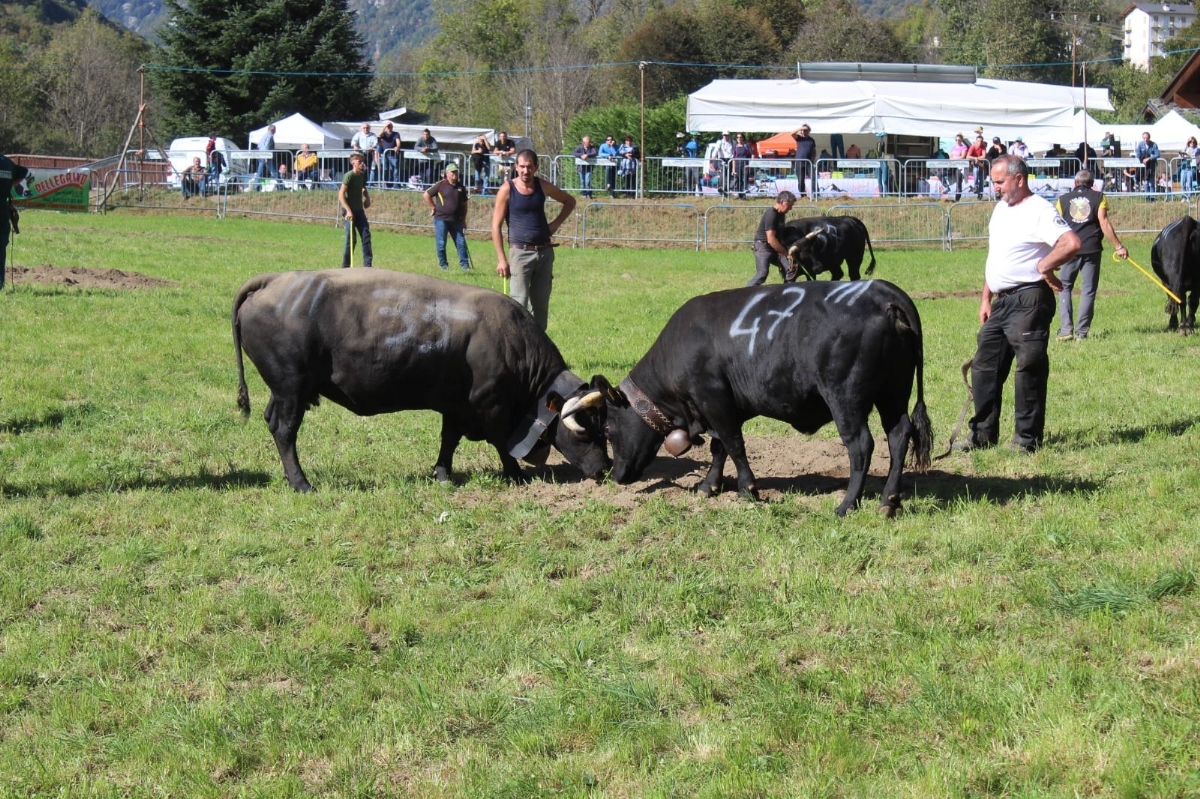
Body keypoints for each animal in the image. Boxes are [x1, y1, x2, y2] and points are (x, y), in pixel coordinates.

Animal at [234, 271, 609, 489]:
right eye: (585, 431)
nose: (605, 468)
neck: (511, 342)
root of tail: (275, 281)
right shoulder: (491, 408)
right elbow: (501, 443)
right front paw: (515, 475)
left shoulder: (457, 406)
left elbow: (449, 440)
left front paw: (442, 474)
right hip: (291, 388)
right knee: (285, 431)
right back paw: (301, 483)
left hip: (283, 390)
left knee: (273, 422)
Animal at [604, 278, 931, 515]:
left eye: (607, 428)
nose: (616, 476)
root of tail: (880, 291)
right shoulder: (721, 408)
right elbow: (719, 447)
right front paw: (709, 485)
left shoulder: (713, 398)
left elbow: (734, 445)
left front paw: (748, 489)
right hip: (893, 393)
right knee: (898, 436)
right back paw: (889, 501)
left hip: (845, 398)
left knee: (861, 445)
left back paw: (847, 504)